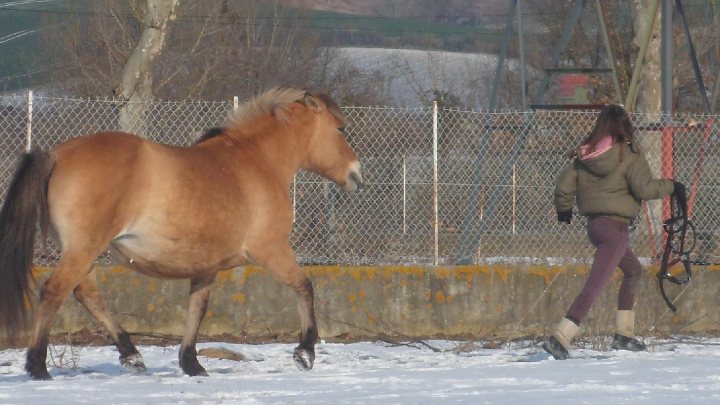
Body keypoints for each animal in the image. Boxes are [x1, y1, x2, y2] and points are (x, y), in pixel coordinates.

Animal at [0, 87, 363, 380]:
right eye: (340, 129)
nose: (356, 175)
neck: (255, 163)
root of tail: (56, 154)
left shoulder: (206, 266)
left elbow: (197, 308)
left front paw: (191, 363)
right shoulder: (270, 250)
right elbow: (304, 286)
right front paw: (305, 353)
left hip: (82, 251)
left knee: (86, 294)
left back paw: (131, 355)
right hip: (84, 249)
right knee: (54, 291)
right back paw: (38, 367)